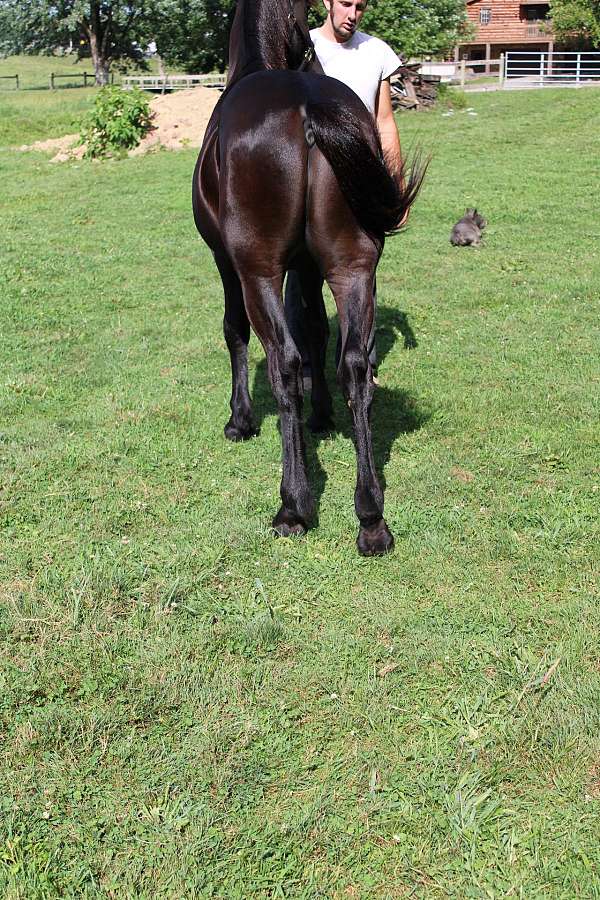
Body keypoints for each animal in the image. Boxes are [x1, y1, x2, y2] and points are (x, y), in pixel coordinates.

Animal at [192, 0, 422, 556]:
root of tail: (306, 109)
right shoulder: (310, 267)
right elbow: (317, 329)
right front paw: (322, 416)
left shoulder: (228, 262)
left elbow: (236, 331)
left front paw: (239, 419)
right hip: (353, 267)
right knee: (355, 365)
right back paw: (371, 517)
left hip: (258, 270)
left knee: (284, 362)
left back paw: (293, 505)